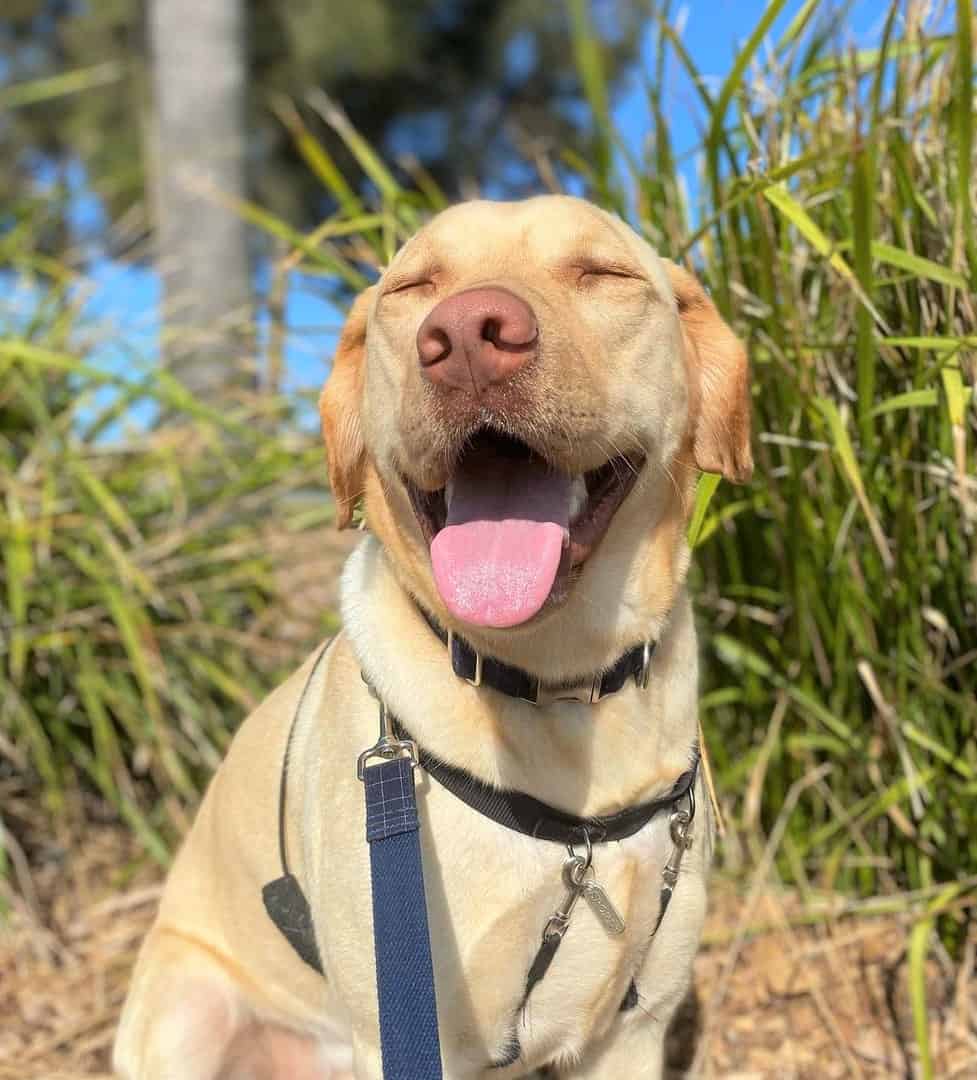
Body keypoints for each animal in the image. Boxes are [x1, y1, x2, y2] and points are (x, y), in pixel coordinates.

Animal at [116, 196, 755, 1080]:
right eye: (412, 288)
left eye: (602, 273)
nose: (466, 337)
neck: (558, 689)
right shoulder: (417, 1029)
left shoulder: (632, 1028)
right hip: (186, 1012)